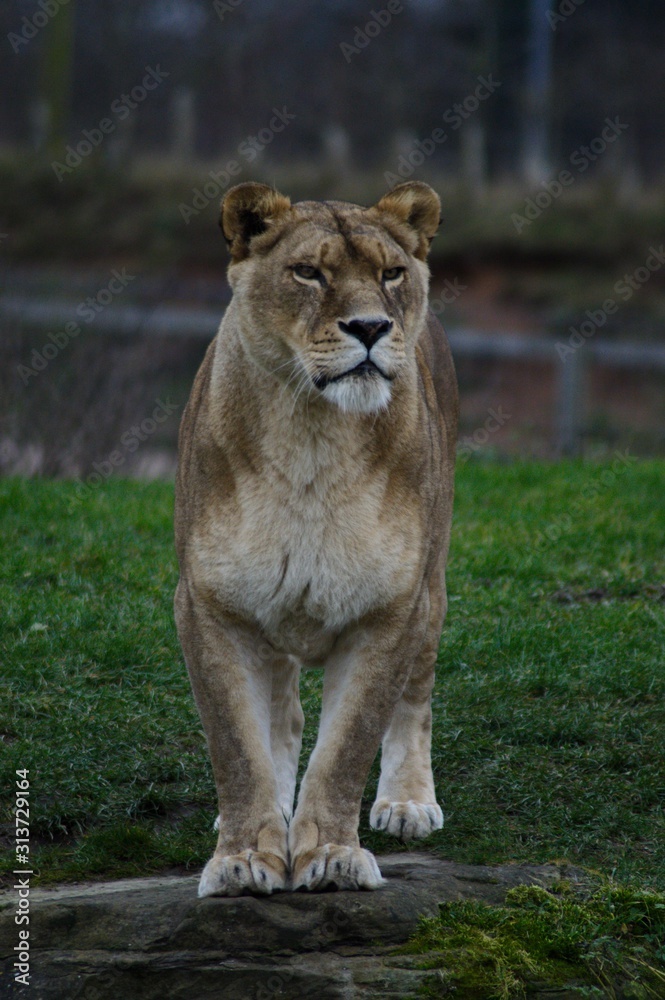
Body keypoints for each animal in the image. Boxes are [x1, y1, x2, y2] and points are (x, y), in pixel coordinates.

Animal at [174, 180, 458, 897]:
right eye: (308, 272)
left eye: (391, 274)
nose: (370, 327)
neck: (313, 436)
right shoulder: (211, 607)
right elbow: (237, 745)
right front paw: (244, 858)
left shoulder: (389, 609)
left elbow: (347, 747)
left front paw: (331, 856)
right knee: (280, 715)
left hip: (434, 585)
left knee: (415, 698)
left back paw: (407, 802)